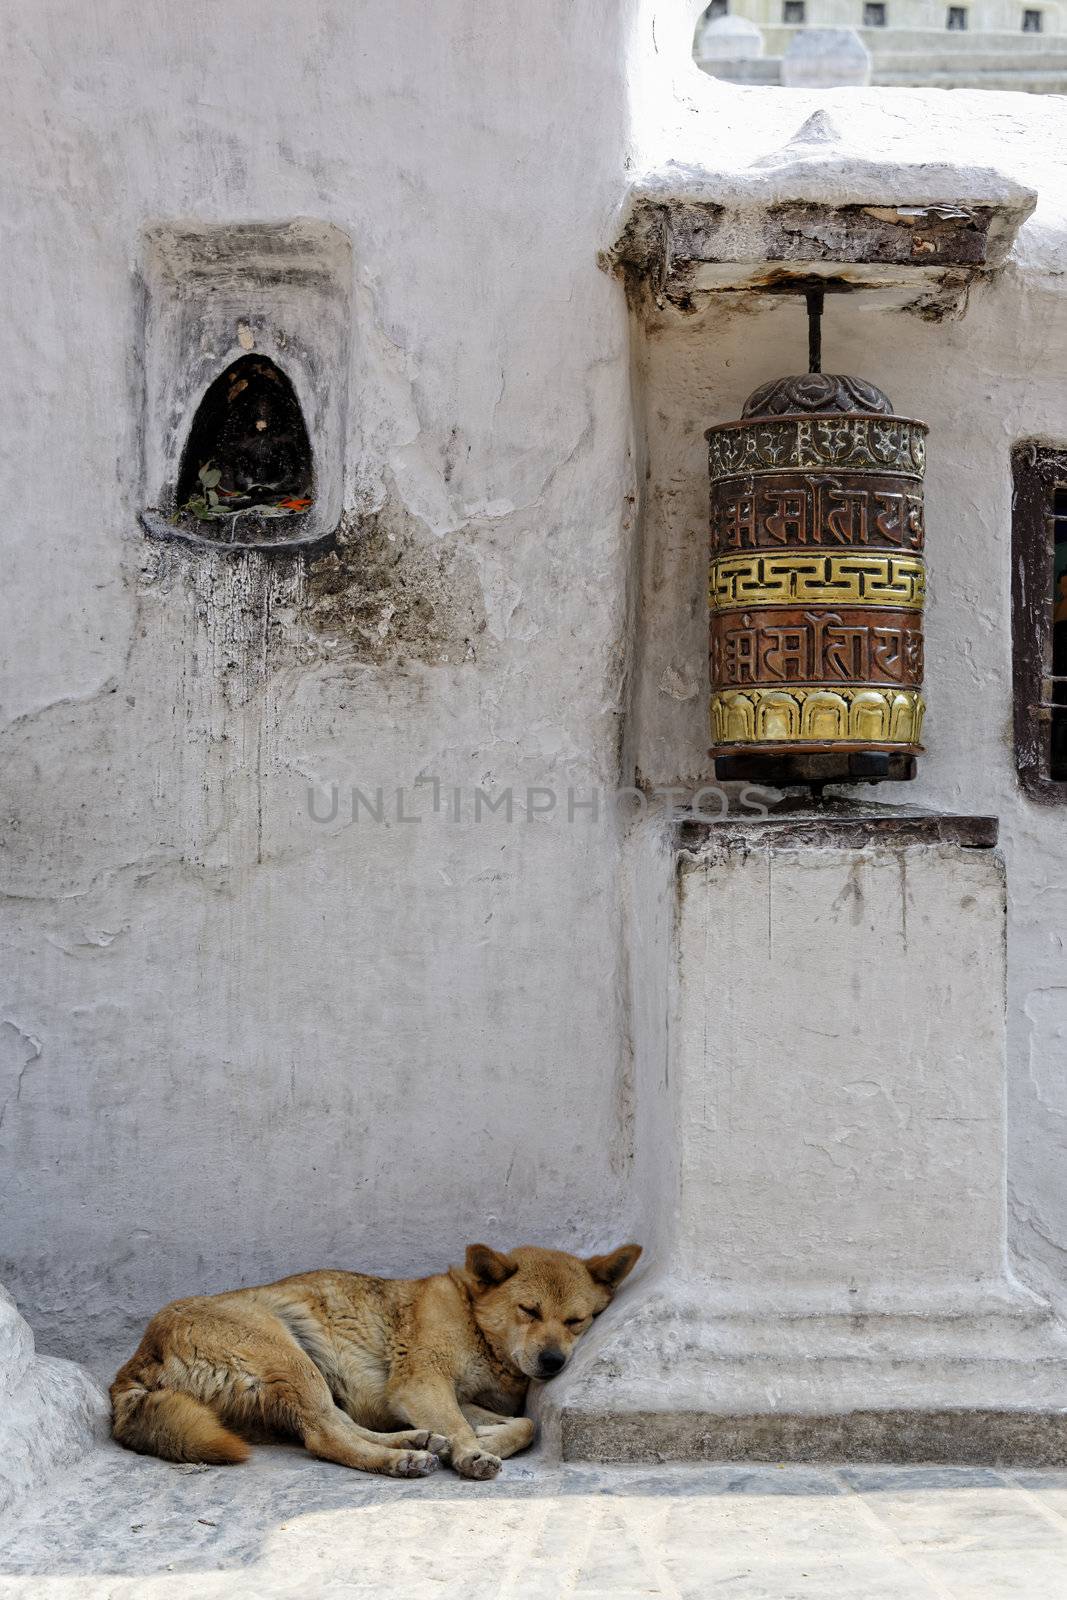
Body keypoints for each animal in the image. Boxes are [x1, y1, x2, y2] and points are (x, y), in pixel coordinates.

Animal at [111, 1241, 639, 1478]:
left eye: (576, 1321)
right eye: (529, 1310)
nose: (552, 1362)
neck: (473, 1318)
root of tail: (135, 1365)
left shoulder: (441, 1395)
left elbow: (522, 1425)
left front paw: (485, 1438)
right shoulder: (422, 1385)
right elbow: (469, 1426)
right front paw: (472, 1451)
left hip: (309, 1383)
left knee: (337, 1426)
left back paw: (413, 1442)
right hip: (292, 1362)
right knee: (324, 1438)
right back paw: (402, 1459)